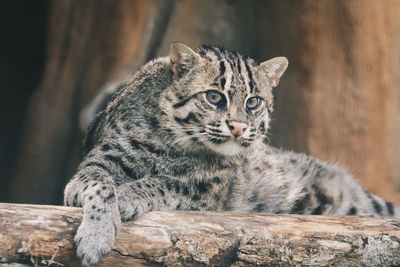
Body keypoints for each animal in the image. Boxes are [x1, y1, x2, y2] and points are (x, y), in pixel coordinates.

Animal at [64, 42, 398, 266]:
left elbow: (165, 182)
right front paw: (96, 236)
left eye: (253, 102)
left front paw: (126, 198)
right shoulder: (100, 159)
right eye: (214, 97)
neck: (173, 143)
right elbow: (100, 185)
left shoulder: (207, 189)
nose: (238, 127)